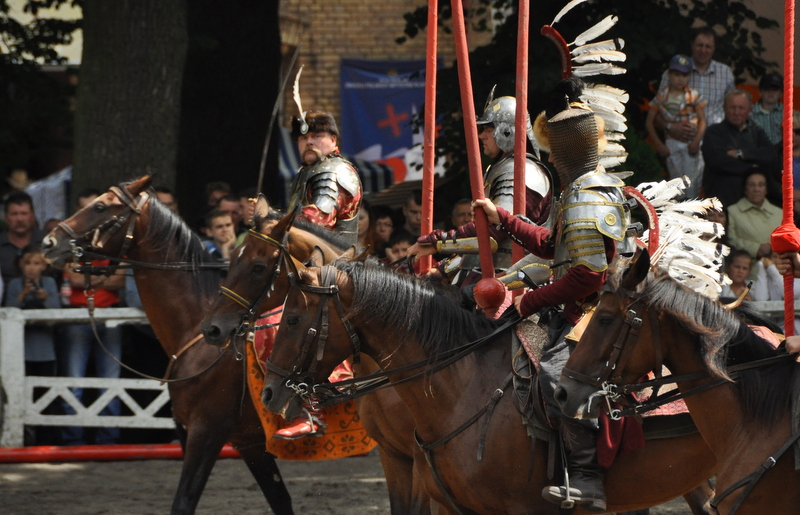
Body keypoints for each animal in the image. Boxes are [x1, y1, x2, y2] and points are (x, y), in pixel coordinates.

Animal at [38, 177, 294, 515]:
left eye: (101, 206)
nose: (49, 242)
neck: (198, 334)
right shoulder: (246, 442)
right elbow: (280, 501)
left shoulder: (206, 433)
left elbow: (183, 502)